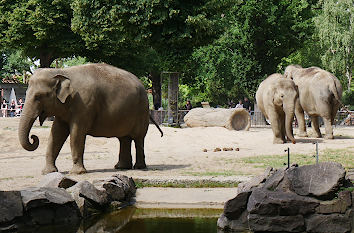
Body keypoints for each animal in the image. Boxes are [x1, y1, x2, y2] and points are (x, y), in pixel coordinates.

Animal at [19, 62, 163, 174]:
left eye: (38, 96)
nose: (33, 137)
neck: (62, 71)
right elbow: (56, 134)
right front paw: (48, 172)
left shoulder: (84, 104)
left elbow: (76, 135)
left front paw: (77, 173)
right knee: (124, 138)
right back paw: (121, 167)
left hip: (141, 111)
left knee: (138, 138)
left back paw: (139, 167)